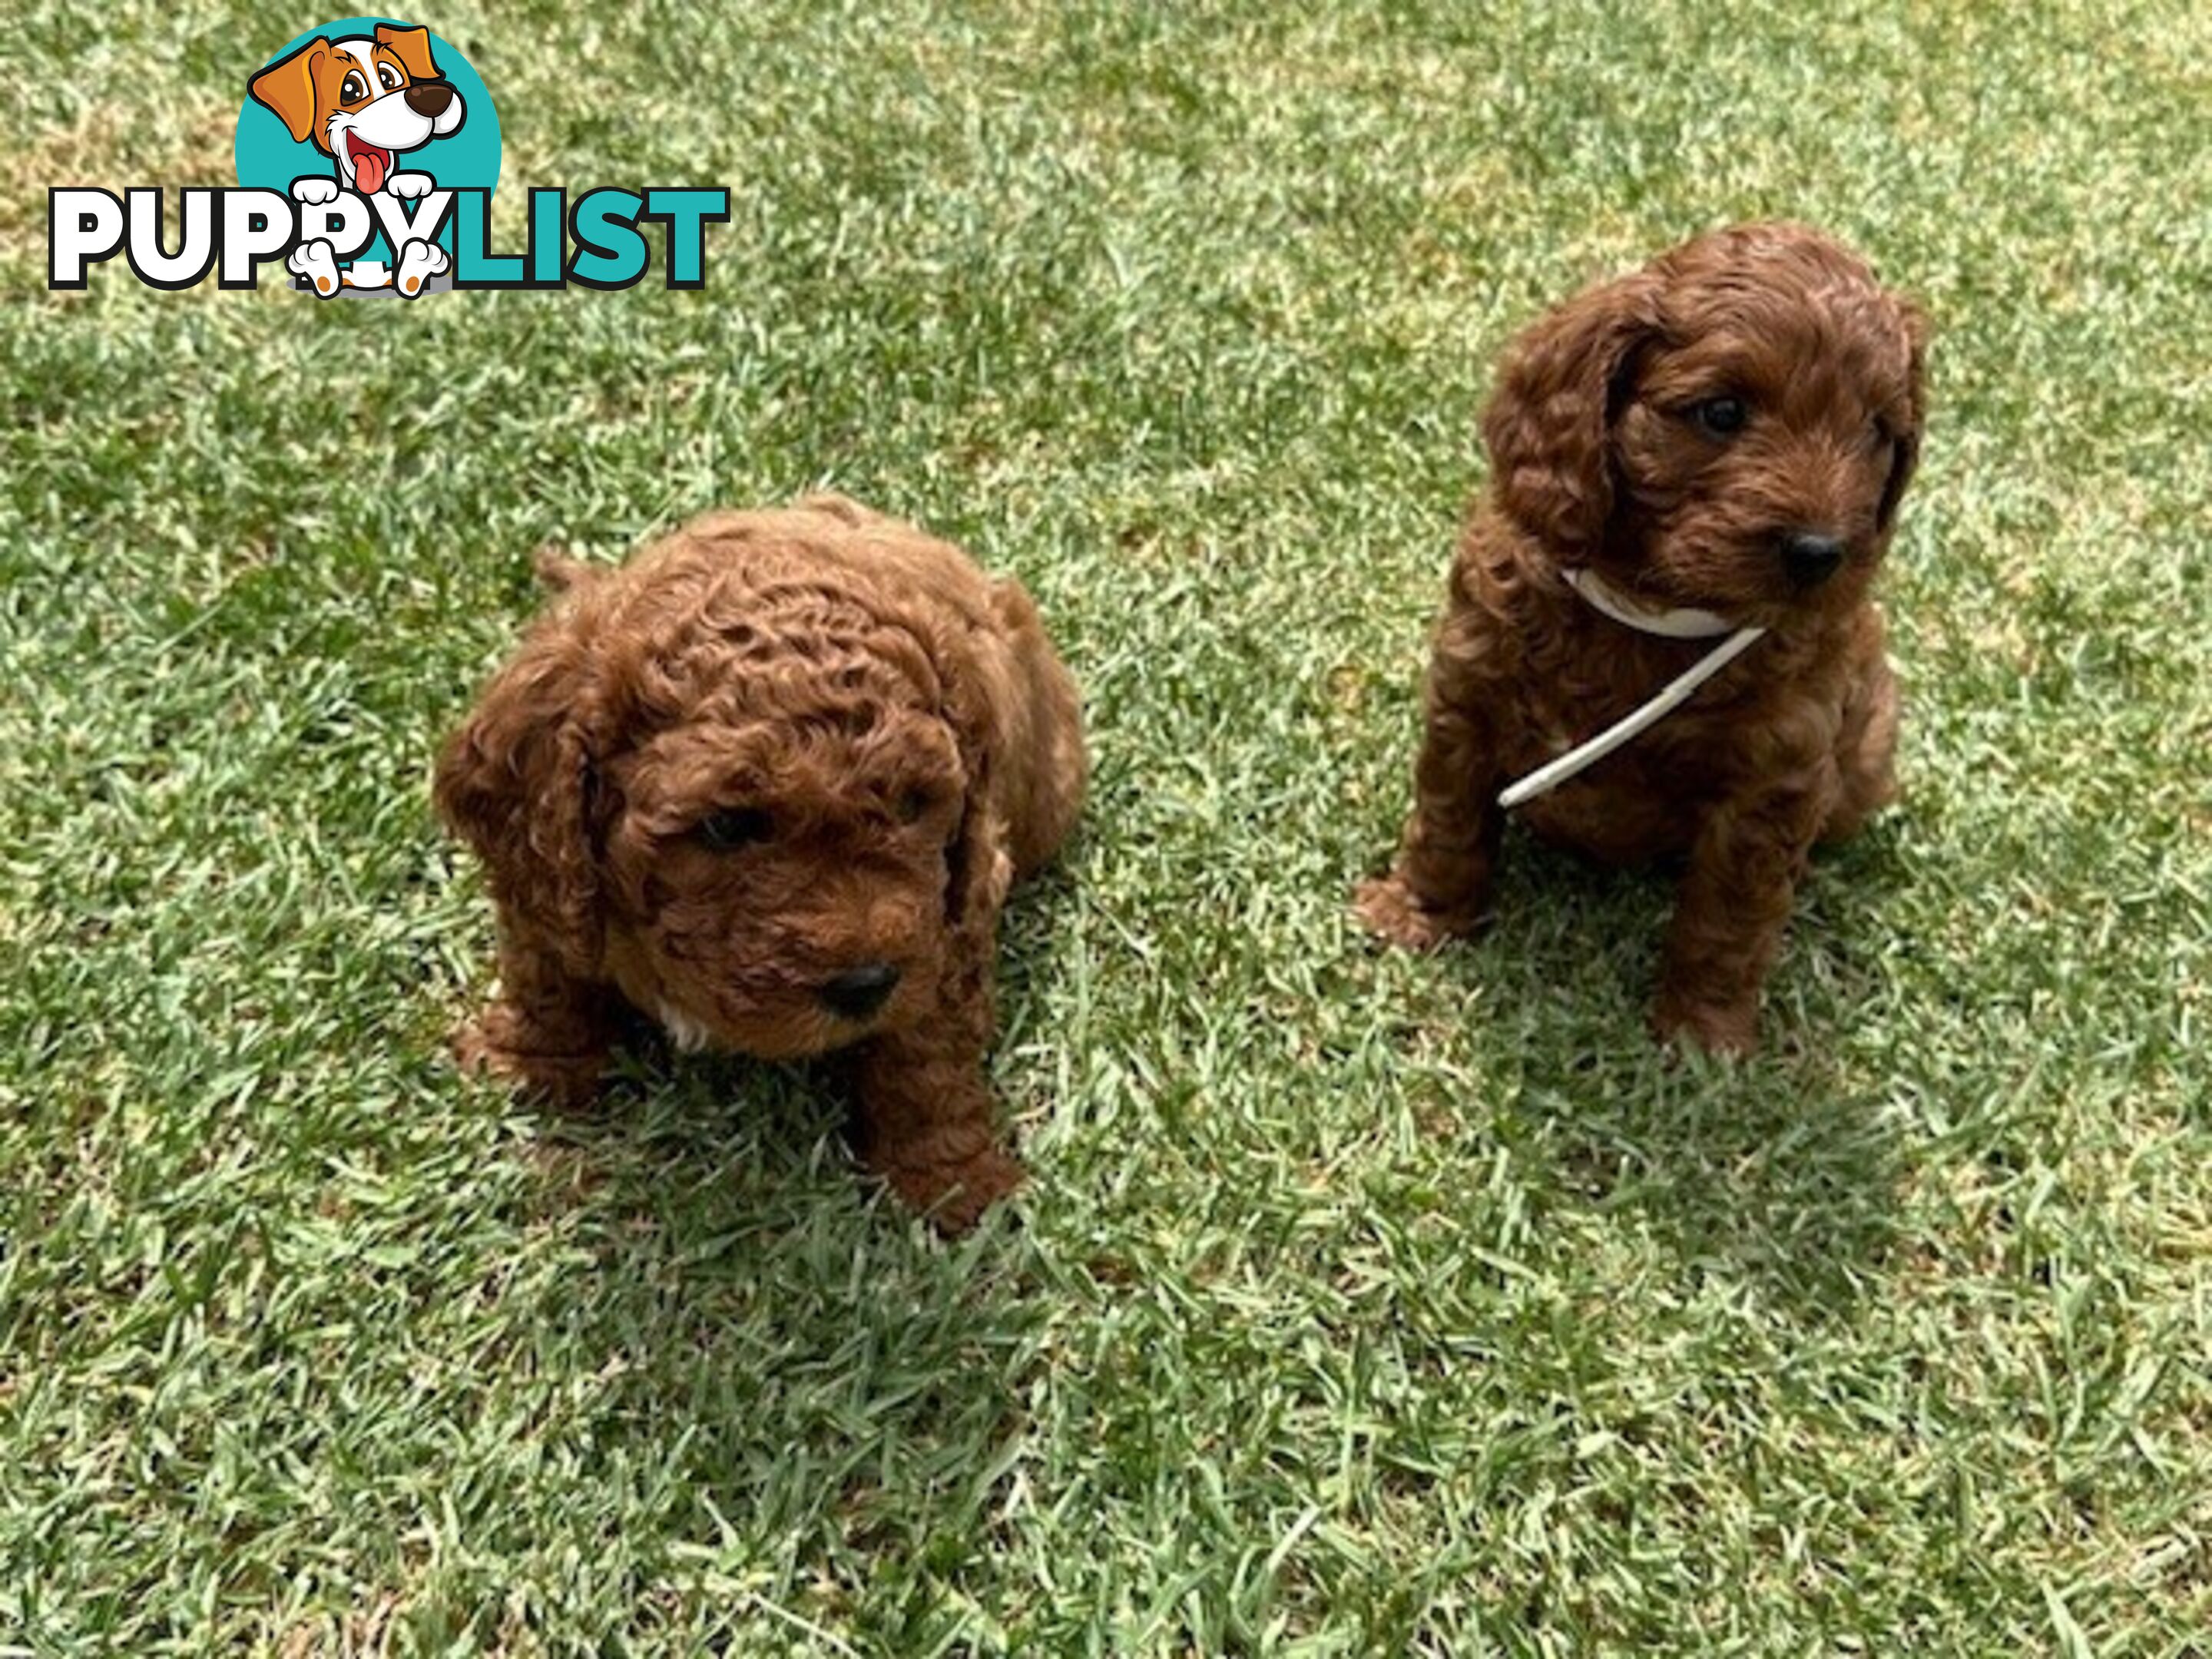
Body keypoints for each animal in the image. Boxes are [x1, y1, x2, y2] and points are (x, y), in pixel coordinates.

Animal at [433, 499, 1088, 1230]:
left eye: (913, 805)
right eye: (726, 826)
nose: (865, 984)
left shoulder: (952, 915)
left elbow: (927, 1053)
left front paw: (950, 1179)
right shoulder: (545, 876)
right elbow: (545, 968)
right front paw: (528, 1060)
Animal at [1353, 224, 1929, 1052]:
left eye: (1878, 433)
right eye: (1721, 412)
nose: (1821, 554)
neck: (1652, 607)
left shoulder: (1776, 778)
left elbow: (1730, 915)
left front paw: (1702, 1033)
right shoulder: (1469, 688)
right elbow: (1448, 818)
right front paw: (1419, 916)